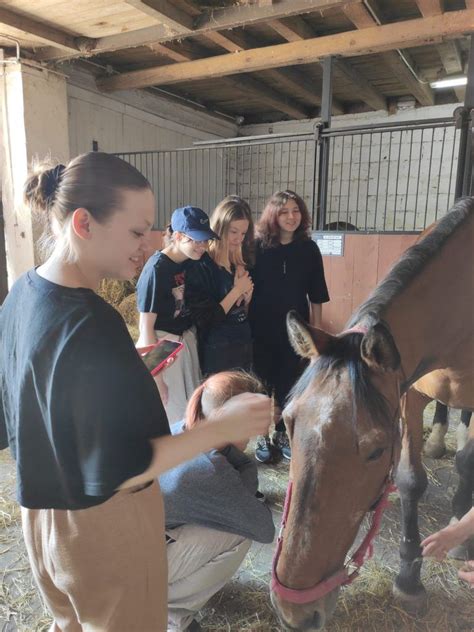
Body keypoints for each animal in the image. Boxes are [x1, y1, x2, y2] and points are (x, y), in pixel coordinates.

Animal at [270, 195, 474, 628]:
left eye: (377, 449)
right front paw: (409, 577)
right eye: (290, 423)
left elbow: (465, 462)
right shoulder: (409, 394)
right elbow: (411, 480)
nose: (295, 613)